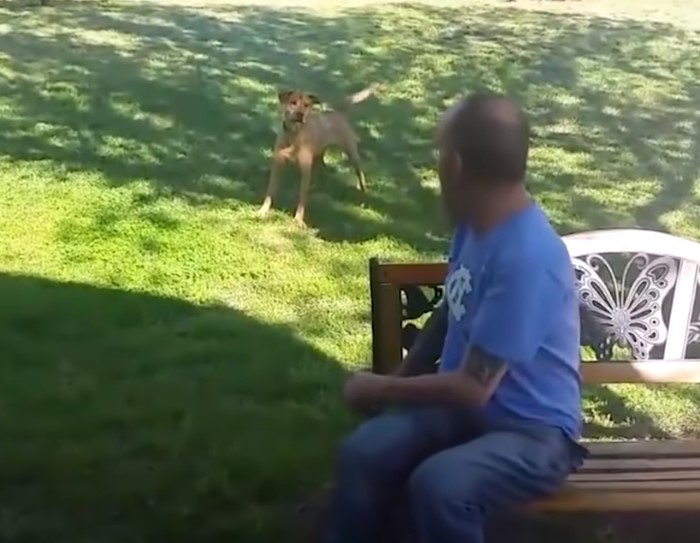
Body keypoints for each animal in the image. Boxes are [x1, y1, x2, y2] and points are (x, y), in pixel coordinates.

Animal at [258, 84, 378, 227]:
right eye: (293, 102)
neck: (294, 134)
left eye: (306, 105)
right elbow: (270, 192)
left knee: (360, 175)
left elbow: (302, 199)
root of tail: (339, 113)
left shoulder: (305, 169)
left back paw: (363, 195)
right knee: (321, 168)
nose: (300, 114)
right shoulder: (278, 165)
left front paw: (298, 220)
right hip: (318, 155)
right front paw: (263, 210)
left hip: (352, 153)